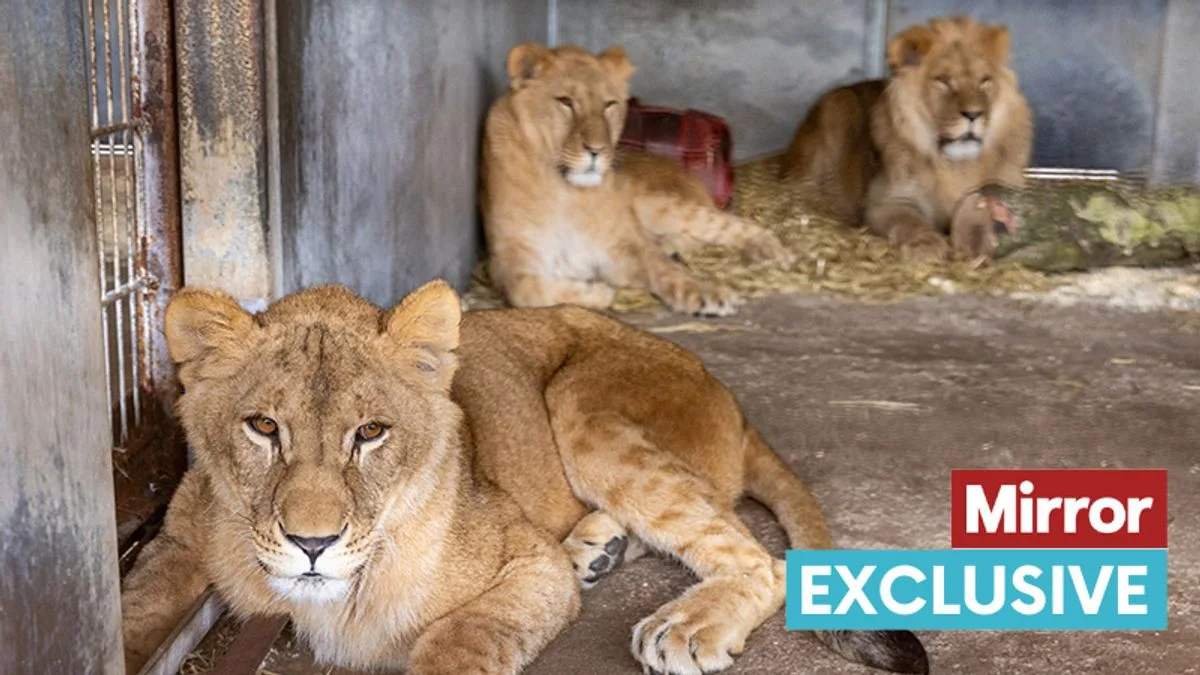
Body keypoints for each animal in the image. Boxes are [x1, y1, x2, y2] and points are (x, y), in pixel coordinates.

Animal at [120, 281, 929, 675]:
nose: (311, 544)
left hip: (581, 401)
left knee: (758, 558)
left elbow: (460, 640)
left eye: (371, 433)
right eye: (263, 427)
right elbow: (133, 612)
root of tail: (726, 393)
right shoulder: (177, 542)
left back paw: (683, 624)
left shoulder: (528, 566)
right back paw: (597, 550)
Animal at [481, 43, 794, 317]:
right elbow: (525, 291)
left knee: (735, 225)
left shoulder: (621, 247)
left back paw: (773, 251)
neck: (565, 191)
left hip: (659, 204)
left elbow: (664, 270)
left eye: (609, 104)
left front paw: (708, 294)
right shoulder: (505, 263)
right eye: (565, 102)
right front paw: (598, 291)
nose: (597, 150)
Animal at [780, 16, 1033, 260]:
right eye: (943, 80)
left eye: (985, 81)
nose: (973, 114)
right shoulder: (884, 202)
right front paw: (927, 245)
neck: (952, 166)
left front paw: (975, 244)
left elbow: (977, 203)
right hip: (840, 104)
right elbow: (909, 221)